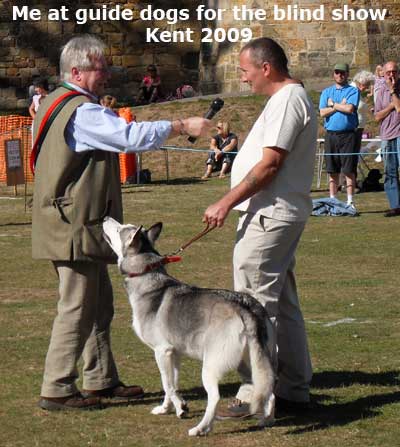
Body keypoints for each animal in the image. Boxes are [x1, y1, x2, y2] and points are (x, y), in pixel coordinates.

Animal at [102, 218, 276, 438]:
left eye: (120, 229)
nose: (105, 218)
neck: (147, 276)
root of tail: (245, 307)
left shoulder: (161, 351)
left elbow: (167, 384)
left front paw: (181, 407)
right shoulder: (174, 354)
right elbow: (172, 384)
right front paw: (167, 408)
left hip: (210, 367)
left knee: (215, 397)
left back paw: (201, 428)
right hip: (252, 362)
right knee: (269, 390)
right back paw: (266, 420)